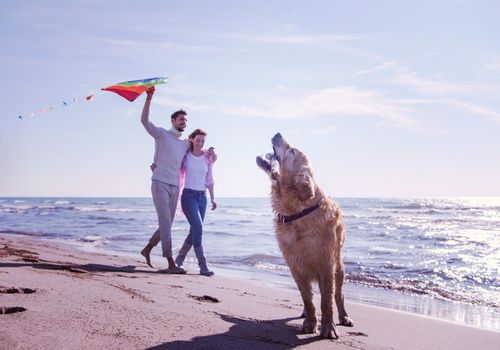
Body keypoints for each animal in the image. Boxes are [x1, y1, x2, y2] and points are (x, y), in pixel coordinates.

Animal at [256, 132, 354, 340]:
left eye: (292, 151)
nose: (277, 133)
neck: (298, 212)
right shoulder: (295, 264)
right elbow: (308, 299)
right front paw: (310, 323)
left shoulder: (326, 264)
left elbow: (326, 301)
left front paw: (328, 328)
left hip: (339, 267)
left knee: (338, 295)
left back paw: (344, 317)